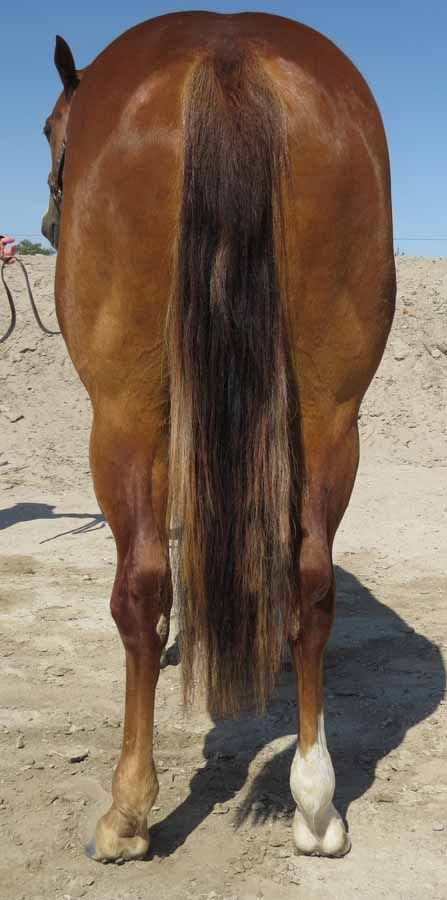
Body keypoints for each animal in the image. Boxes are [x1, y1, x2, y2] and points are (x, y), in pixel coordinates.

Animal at [42, 11, 395, 862]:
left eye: (49, 131)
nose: (45, 222)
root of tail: (227, 52)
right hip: (332, 415)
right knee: (311, 580)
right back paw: (315, 804)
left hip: (123, 414)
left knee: (140, 587)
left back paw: (128, 812)